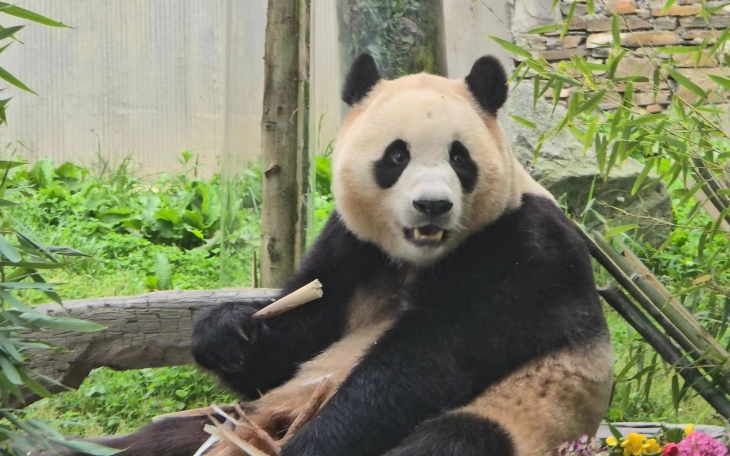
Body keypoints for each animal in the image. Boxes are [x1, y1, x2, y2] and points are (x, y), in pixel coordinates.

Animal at [48, 54, 612, 456]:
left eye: (460, 157)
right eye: (397, 155)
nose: (433, 205)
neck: (418, 259)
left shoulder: (523, 254)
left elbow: (422, 365)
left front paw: (313, 445)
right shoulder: (352, 247)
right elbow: (302, 330)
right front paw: (225, 332)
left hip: (525, 416)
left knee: (456, 440)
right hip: (235, 418)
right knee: (163, 438)